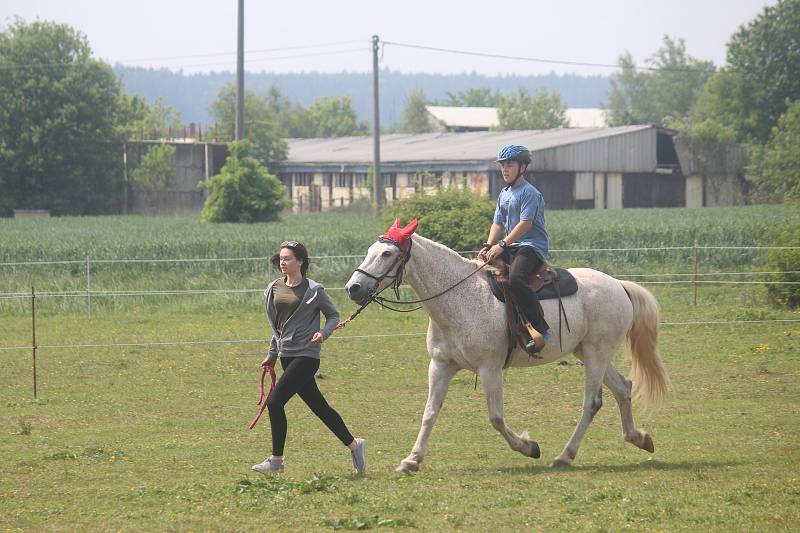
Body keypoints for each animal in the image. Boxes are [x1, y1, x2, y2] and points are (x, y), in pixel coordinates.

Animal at [344, 219, 668, 470]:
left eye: (387, 253)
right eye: (371, 251)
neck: (460, 298)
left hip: (596, 353)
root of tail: (619, 285)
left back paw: (564, 456)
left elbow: (496, 418)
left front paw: (529, 446)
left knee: (592, 402)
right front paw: (411, 460)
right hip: (588, 352)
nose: (353, 288)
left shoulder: (490, 368)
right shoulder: (441, 366)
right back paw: (640, 438)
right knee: (623, 388)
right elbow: (430, 413)